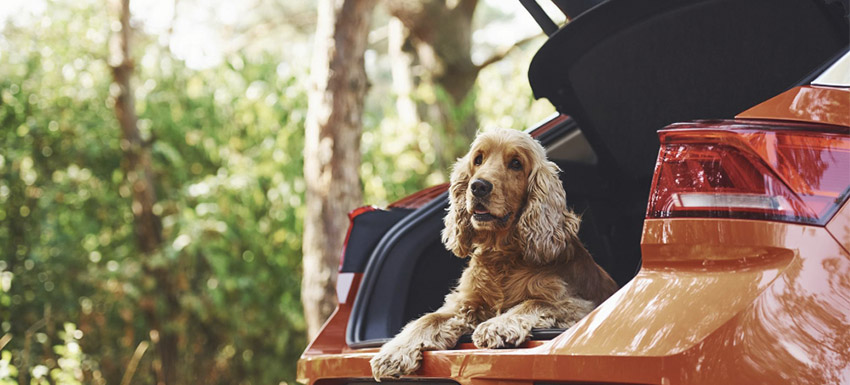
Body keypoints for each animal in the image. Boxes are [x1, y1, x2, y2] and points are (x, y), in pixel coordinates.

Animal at [368, 128, 612, 378]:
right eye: (478, 159)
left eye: (516, 163)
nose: (478, 187)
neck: (502, 255)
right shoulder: (464, 304)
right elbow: (429, 318)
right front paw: (395, 351)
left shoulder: (578, 305)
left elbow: (536, 302)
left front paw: (497, 325)